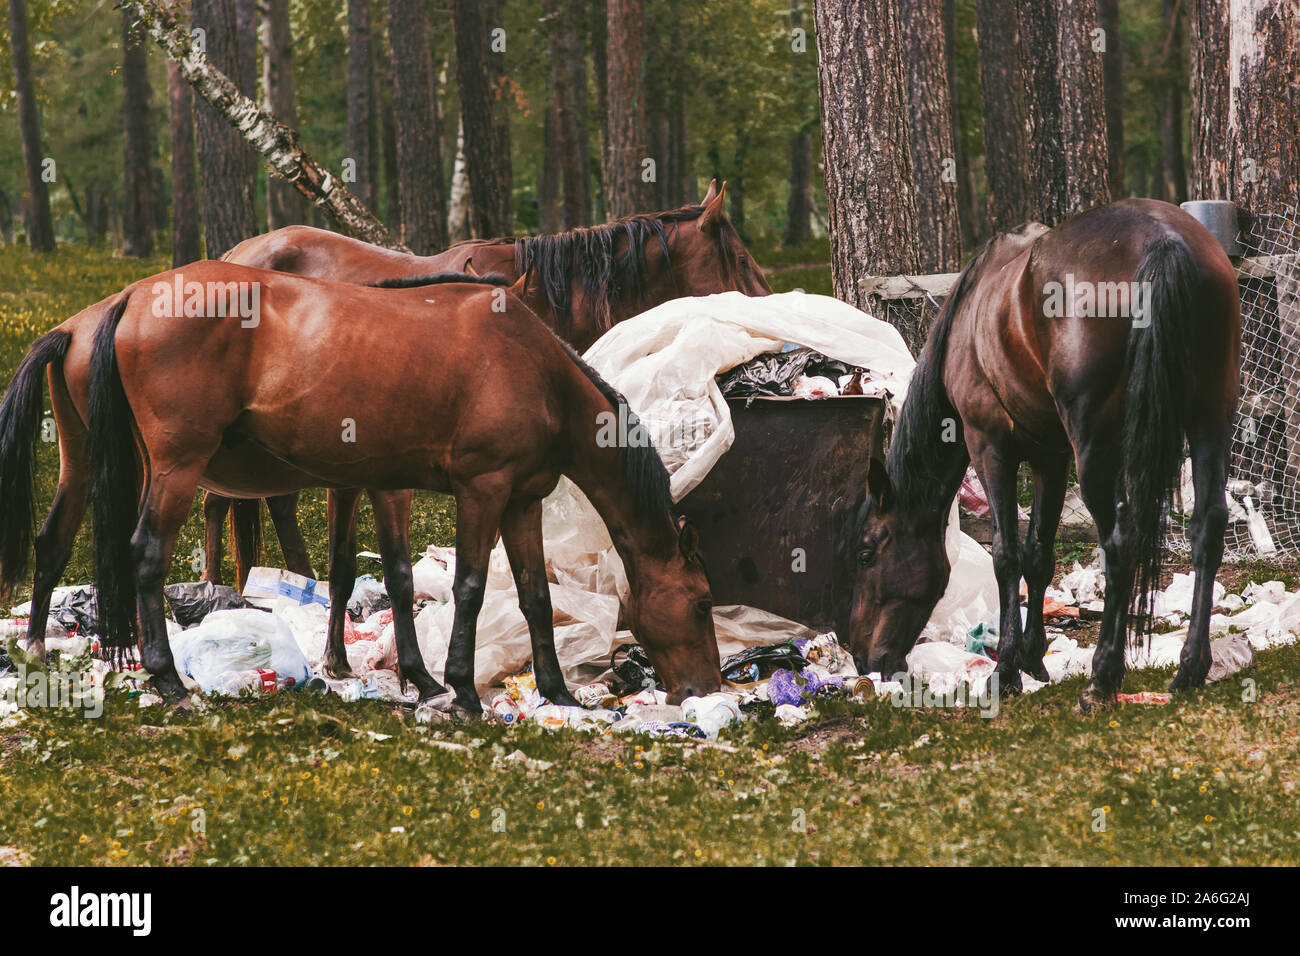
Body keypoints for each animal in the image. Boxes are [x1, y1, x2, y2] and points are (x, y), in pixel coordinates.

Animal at [0, 263, 722, 710]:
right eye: (703, 603)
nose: (705, 688)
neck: (532, 365)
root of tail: (128, 301)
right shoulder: (481, 491)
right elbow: (468, 586)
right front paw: (459, 689)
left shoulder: (519, 500)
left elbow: (532, 595)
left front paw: (554, 691)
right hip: (176, 469)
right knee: (146, 555)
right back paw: (166, 678)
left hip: (100, 464)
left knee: (59, 541)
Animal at [847, 199, 1240, 713]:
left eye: (866, 554)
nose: (863, 659)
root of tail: (1164, 239)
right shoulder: (1050, 458)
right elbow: (1039, 555)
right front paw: (1034, 658)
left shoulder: (989, 446)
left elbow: (1007, 555)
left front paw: (1006, 671)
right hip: (1211, 419)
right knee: (1206, 527)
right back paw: (1190, 668)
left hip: (1096, 451)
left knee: (1119, 543)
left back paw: (1102, 679)